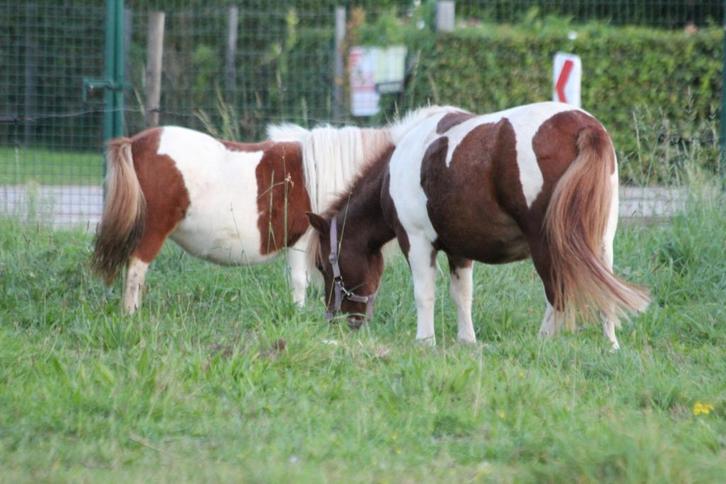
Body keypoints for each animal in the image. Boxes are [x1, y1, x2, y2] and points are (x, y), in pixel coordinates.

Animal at [91, 123, 392, 313]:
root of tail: (135, 143)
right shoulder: (303, 238)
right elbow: (299, 280)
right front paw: (299, 314)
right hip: (153, 230)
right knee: (135, 269)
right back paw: (132, 315)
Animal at [306, 102, 650, 350]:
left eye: (323, 266)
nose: (340, 321)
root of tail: (585, 126)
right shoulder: (459, 250)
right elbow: (463, 295)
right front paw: (467, 341)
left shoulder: (416, 242)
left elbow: (424, 293)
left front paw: (425, 342)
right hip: (600, 242)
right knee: (604, 288)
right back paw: (610, 344)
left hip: (548, 243)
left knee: (558, 292)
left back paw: (544, 343)